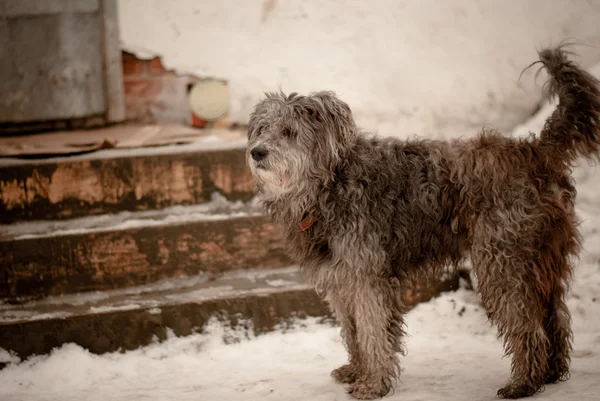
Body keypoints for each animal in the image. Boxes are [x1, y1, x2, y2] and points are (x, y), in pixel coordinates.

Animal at [244, 48, 600, 398]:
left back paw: (523, 382)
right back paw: (550, 373)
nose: (257, 152)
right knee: (555, 317)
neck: (330, 184)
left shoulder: (366, 277)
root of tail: (535, 150)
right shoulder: (340, 279)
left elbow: (373, 332)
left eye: (289, 132)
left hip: (502, 261)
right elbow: (353, 332)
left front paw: (373, 384)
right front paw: (356, 371)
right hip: (542, 260)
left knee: (527, 323)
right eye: (262, 129)